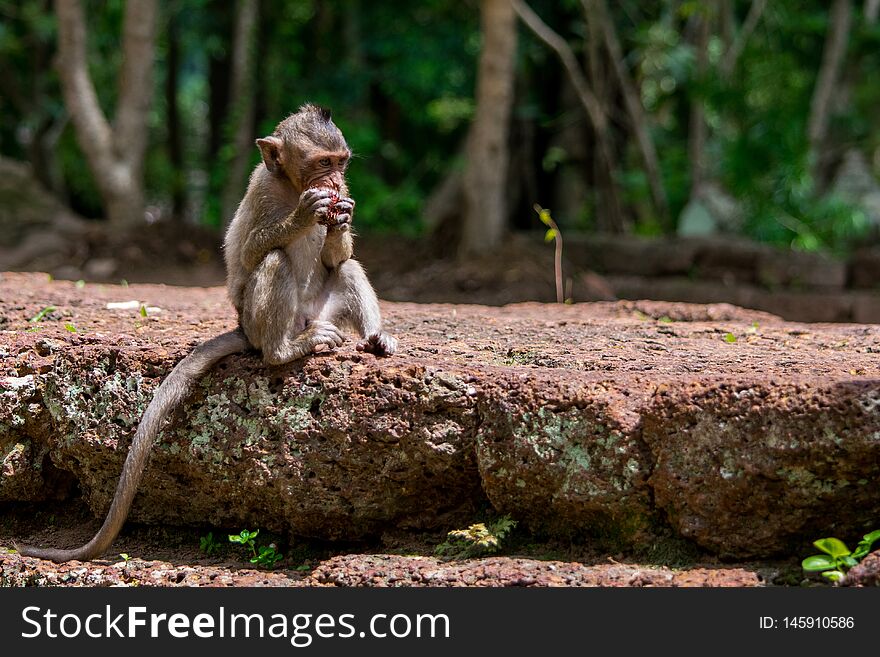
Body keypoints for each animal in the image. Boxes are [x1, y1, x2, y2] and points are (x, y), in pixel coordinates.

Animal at [18, 105, 396, 560]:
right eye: (323, 164)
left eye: (341, 163)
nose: (336, 184)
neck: (290, 187)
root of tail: (250, 329)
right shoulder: (261, 189)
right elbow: (249, 253)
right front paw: (303, 216)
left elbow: (336, 257)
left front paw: (341, 219)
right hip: (261, 322)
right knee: (274, 261)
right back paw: (285, 350)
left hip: (324, 312)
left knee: (346, 269)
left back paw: (375, 337)